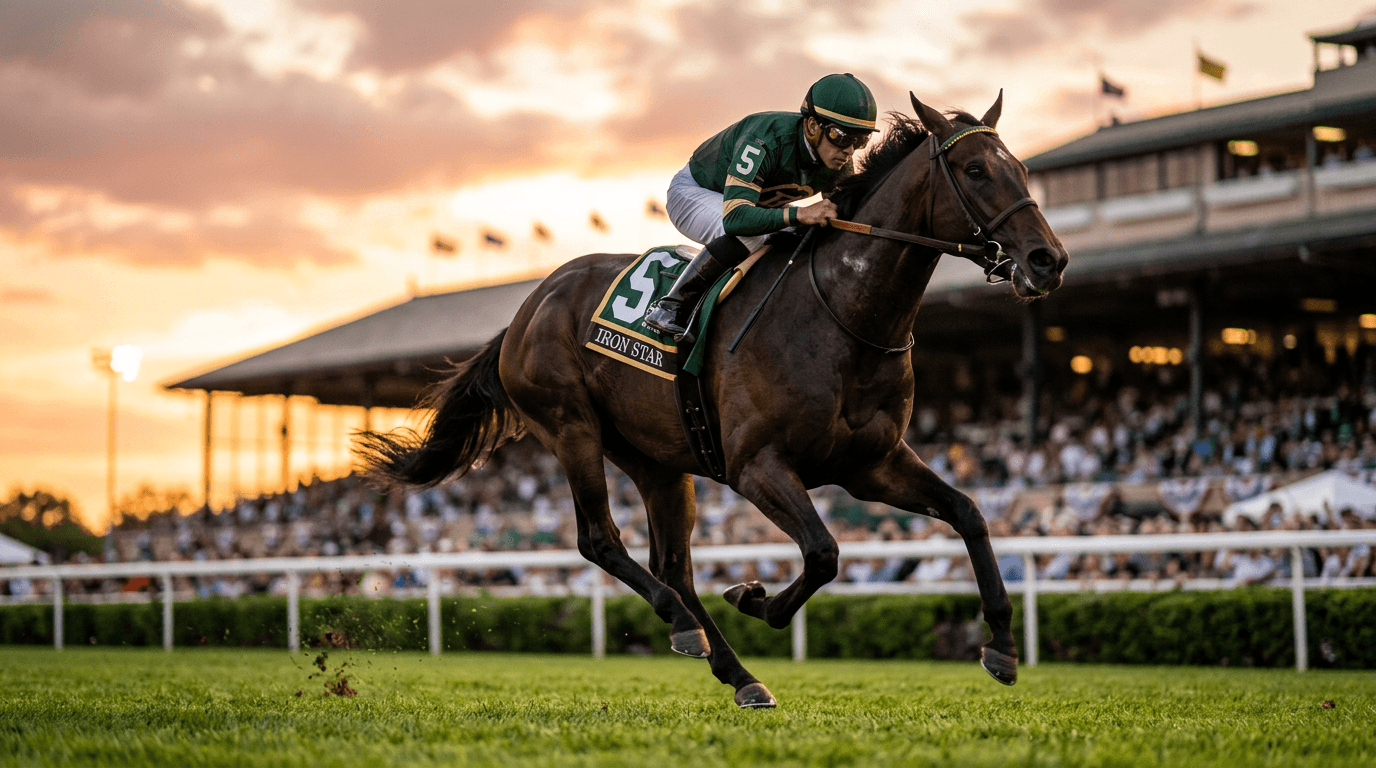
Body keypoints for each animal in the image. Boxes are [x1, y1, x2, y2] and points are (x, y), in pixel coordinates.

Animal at [357, 91, 1069, 709]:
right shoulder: (757, 467)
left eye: (1022, 168)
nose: (1048, 259)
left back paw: (734, 669)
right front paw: (756, 598)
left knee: (672, 565)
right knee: (601, 541)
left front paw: (1002, 647)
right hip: (570, 428)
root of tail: (525, 311)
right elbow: (824, 552)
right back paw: (684, 626)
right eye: (975, 170)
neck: (842, 316)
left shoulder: (872, 465)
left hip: (658, 461)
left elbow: (968, 513)